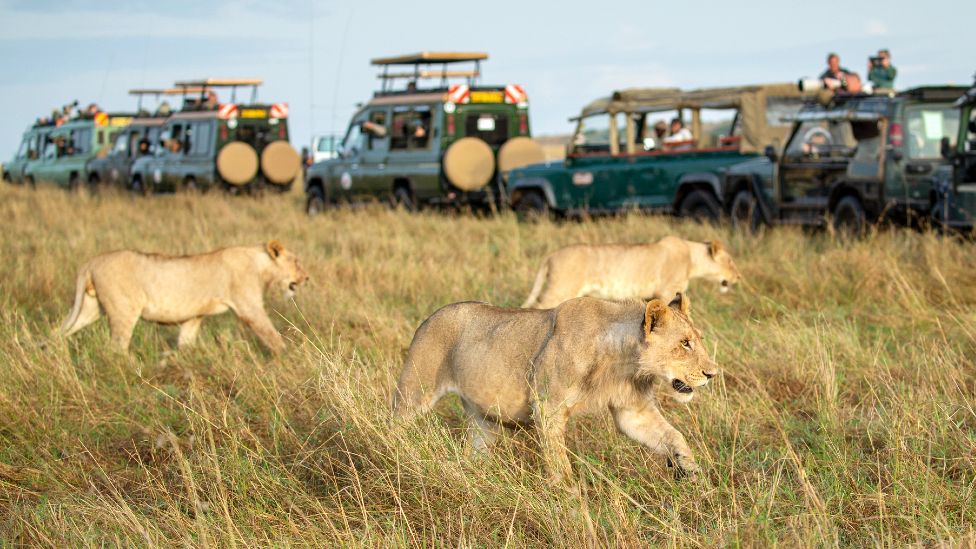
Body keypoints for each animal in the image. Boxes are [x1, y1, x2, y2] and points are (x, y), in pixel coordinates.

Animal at [59, 239, 306, 352]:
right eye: (296, 262)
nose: (307, 278)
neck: (260, 263)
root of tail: (92, 262)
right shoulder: (250, 307)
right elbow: (271, 334)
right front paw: (288, 355)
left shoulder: (194, 316)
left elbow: (186, 341)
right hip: (123, 311)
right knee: (117, 348)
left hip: (90, 308)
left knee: (59, 331)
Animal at [392, 294, 720, 478]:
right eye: (685, 343)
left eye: (698, 339)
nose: (712, 373)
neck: (623, 361)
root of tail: (430, 316)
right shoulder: (547, 409)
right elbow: (560, 467)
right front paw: (573, 507)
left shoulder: (633, 411)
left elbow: (674, 436)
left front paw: (692, 472)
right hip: (414, 392)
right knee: (395, 424)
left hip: (483, 420)